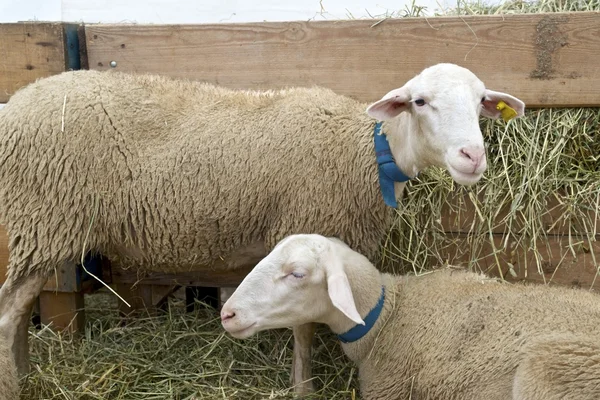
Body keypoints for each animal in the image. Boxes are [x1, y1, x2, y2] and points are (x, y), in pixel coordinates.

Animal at [0, 63, 524, 394]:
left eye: (481, 101)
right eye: (420, 101)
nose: (472, 157)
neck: (370, 150)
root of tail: (15, 106)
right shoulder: (309, 221)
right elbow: (304, 328)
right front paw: (303, 387)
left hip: (38, 226)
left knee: (20, 311)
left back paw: (25, 373)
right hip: (43, 216)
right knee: (8, 314)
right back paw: (13, 384)